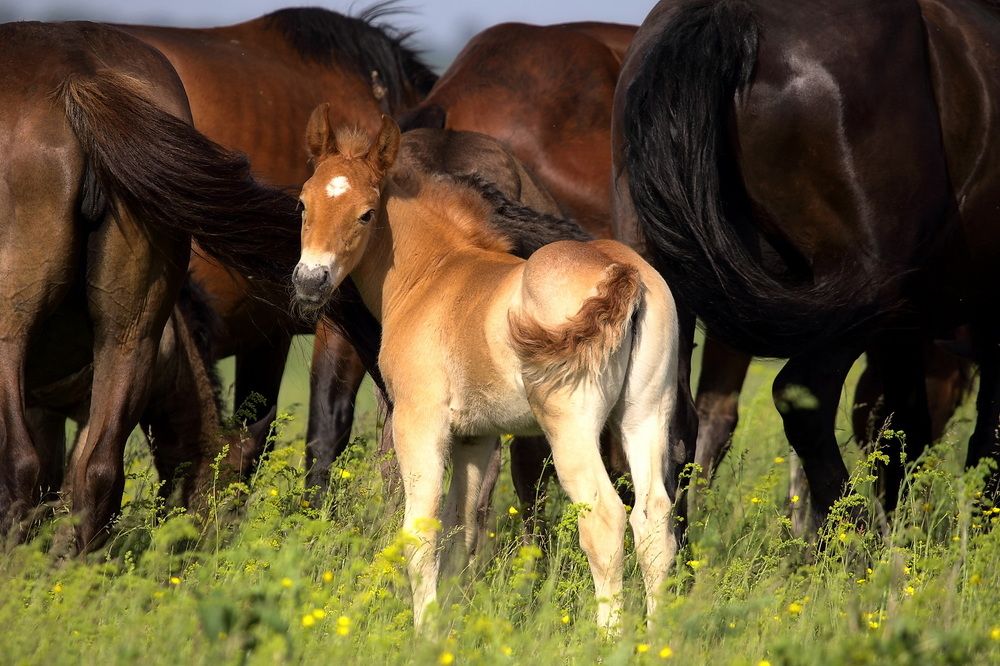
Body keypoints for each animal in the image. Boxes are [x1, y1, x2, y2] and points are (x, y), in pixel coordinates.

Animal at [293, 113, 680, 631]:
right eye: (303, 204)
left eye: (366, 214)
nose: (309, 281)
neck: (433, 274)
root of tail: (621, 270)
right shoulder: (476, 438)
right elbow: (461, 528)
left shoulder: (419, 420)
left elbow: (422, 531)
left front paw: (425, 630)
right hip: (645, 414)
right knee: (653, 519)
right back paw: (656, 636)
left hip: (571, 427)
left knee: (604, 517)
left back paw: (610, 636)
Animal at [613, 0, 1000, 524]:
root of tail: (725, 15)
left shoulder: (905, 331)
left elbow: (904, 427)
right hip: (862, 289)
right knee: (803, 398)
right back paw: (855, 535)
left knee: (672, 428)